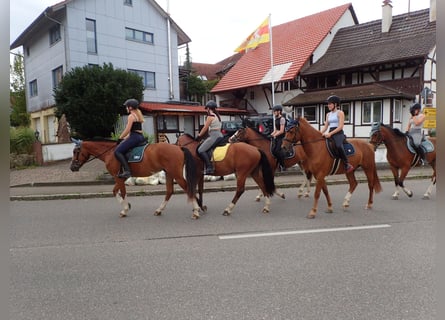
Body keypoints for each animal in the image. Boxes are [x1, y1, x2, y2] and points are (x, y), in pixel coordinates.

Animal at [70, 139, 199, 219]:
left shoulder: (118, 177)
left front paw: (125, 209)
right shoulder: (120, 178)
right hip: (169, 174)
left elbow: (122, 192)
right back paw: (159, 210)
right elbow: (115, 191)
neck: (110, 153)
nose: (72, 167)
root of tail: (179, 148)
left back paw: (196, 211)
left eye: (76, 151)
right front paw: (127, 205)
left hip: (175, 174)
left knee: (187, 188)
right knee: (169, 191)